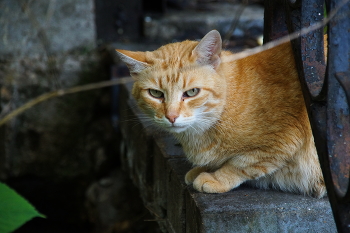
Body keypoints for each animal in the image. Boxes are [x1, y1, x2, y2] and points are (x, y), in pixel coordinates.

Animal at [117, 30, 326, 198]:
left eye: (192, 92)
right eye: (156, 93)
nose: (171, 116)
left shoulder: (282, 140)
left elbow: (242, 164)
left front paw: (217, 178)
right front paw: (202, 169)